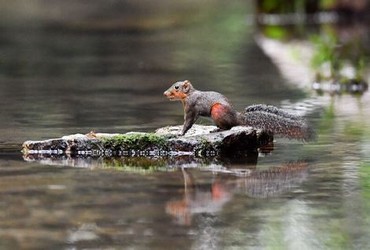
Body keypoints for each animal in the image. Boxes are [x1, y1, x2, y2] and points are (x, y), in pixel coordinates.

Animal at [163, 81, 314, 141]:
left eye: (176, 87)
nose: (165, 93)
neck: (188, 95)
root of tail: (237, 117)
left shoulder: (191, 107)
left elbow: (188, 122)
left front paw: (179, 133)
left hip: (217, 111)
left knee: (228, 127)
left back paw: (217, 129)